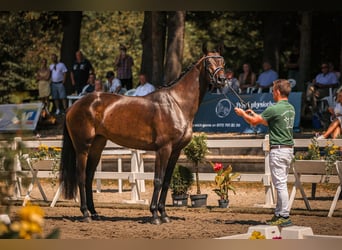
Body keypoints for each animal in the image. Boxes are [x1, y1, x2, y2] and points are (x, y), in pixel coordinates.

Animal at [60, 46, 227, 224]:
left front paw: (164, 214)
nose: (222, 79)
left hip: (97, 147)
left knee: (89, 177)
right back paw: (85, 213)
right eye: (209, 63)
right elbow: (158, 180)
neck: (177, 104)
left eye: (222, 62)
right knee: (81, 176)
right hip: (82, 148)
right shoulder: (163, 149)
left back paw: (94, 212)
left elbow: (167, 181)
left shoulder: (175, 151)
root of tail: (73, 106)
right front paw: (154, 215)